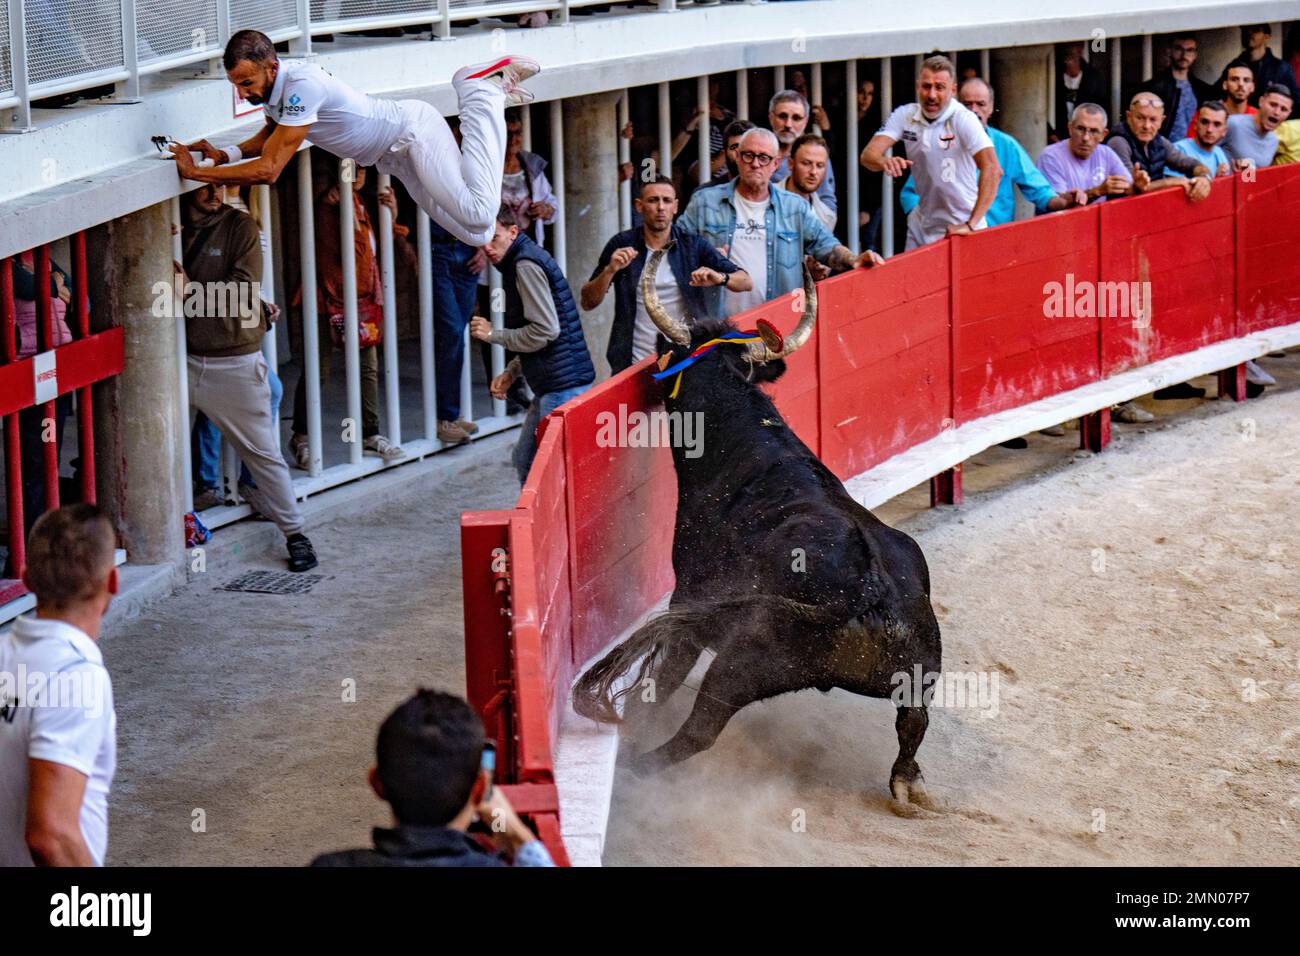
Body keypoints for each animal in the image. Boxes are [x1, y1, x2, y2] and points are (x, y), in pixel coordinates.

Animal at [574, 254, 941, 816]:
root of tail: (869, 589)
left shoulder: (688, 600)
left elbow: (660, 683)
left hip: (740, 665)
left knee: (696, 732)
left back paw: (636, 769)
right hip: (921, 671)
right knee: (914, 721)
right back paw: (908, 782)